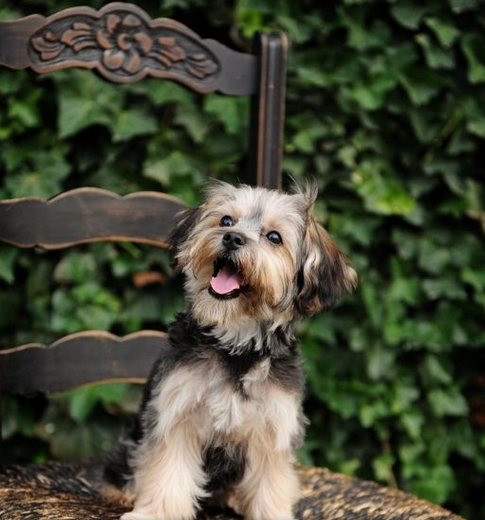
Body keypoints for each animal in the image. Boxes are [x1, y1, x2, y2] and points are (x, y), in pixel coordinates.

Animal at [103, 182, 356, 520]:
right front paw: (154, 513)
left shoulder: (273, 429)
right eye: (226, 220)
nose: (232, 237)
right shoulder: (176, 413)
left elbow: (270, 485)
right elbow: (168, 474)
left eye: (274, 237)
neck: (236, 345)